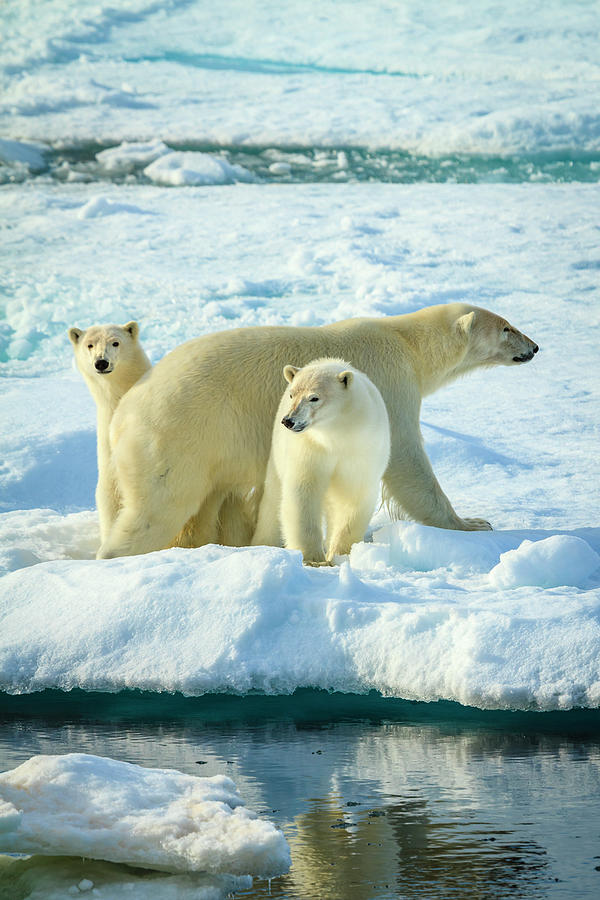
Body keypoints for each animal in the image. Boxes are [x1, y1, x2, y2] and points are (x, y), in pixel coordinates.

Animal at [98, 304, 540, 556]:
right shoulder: (391, 383)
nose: (534, 347)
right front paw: (473, 524)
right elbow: (406, 460)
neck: (407, 342)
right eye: (506, 328)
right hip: (178, 437)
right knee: (160, 506)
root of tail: (123, 415)